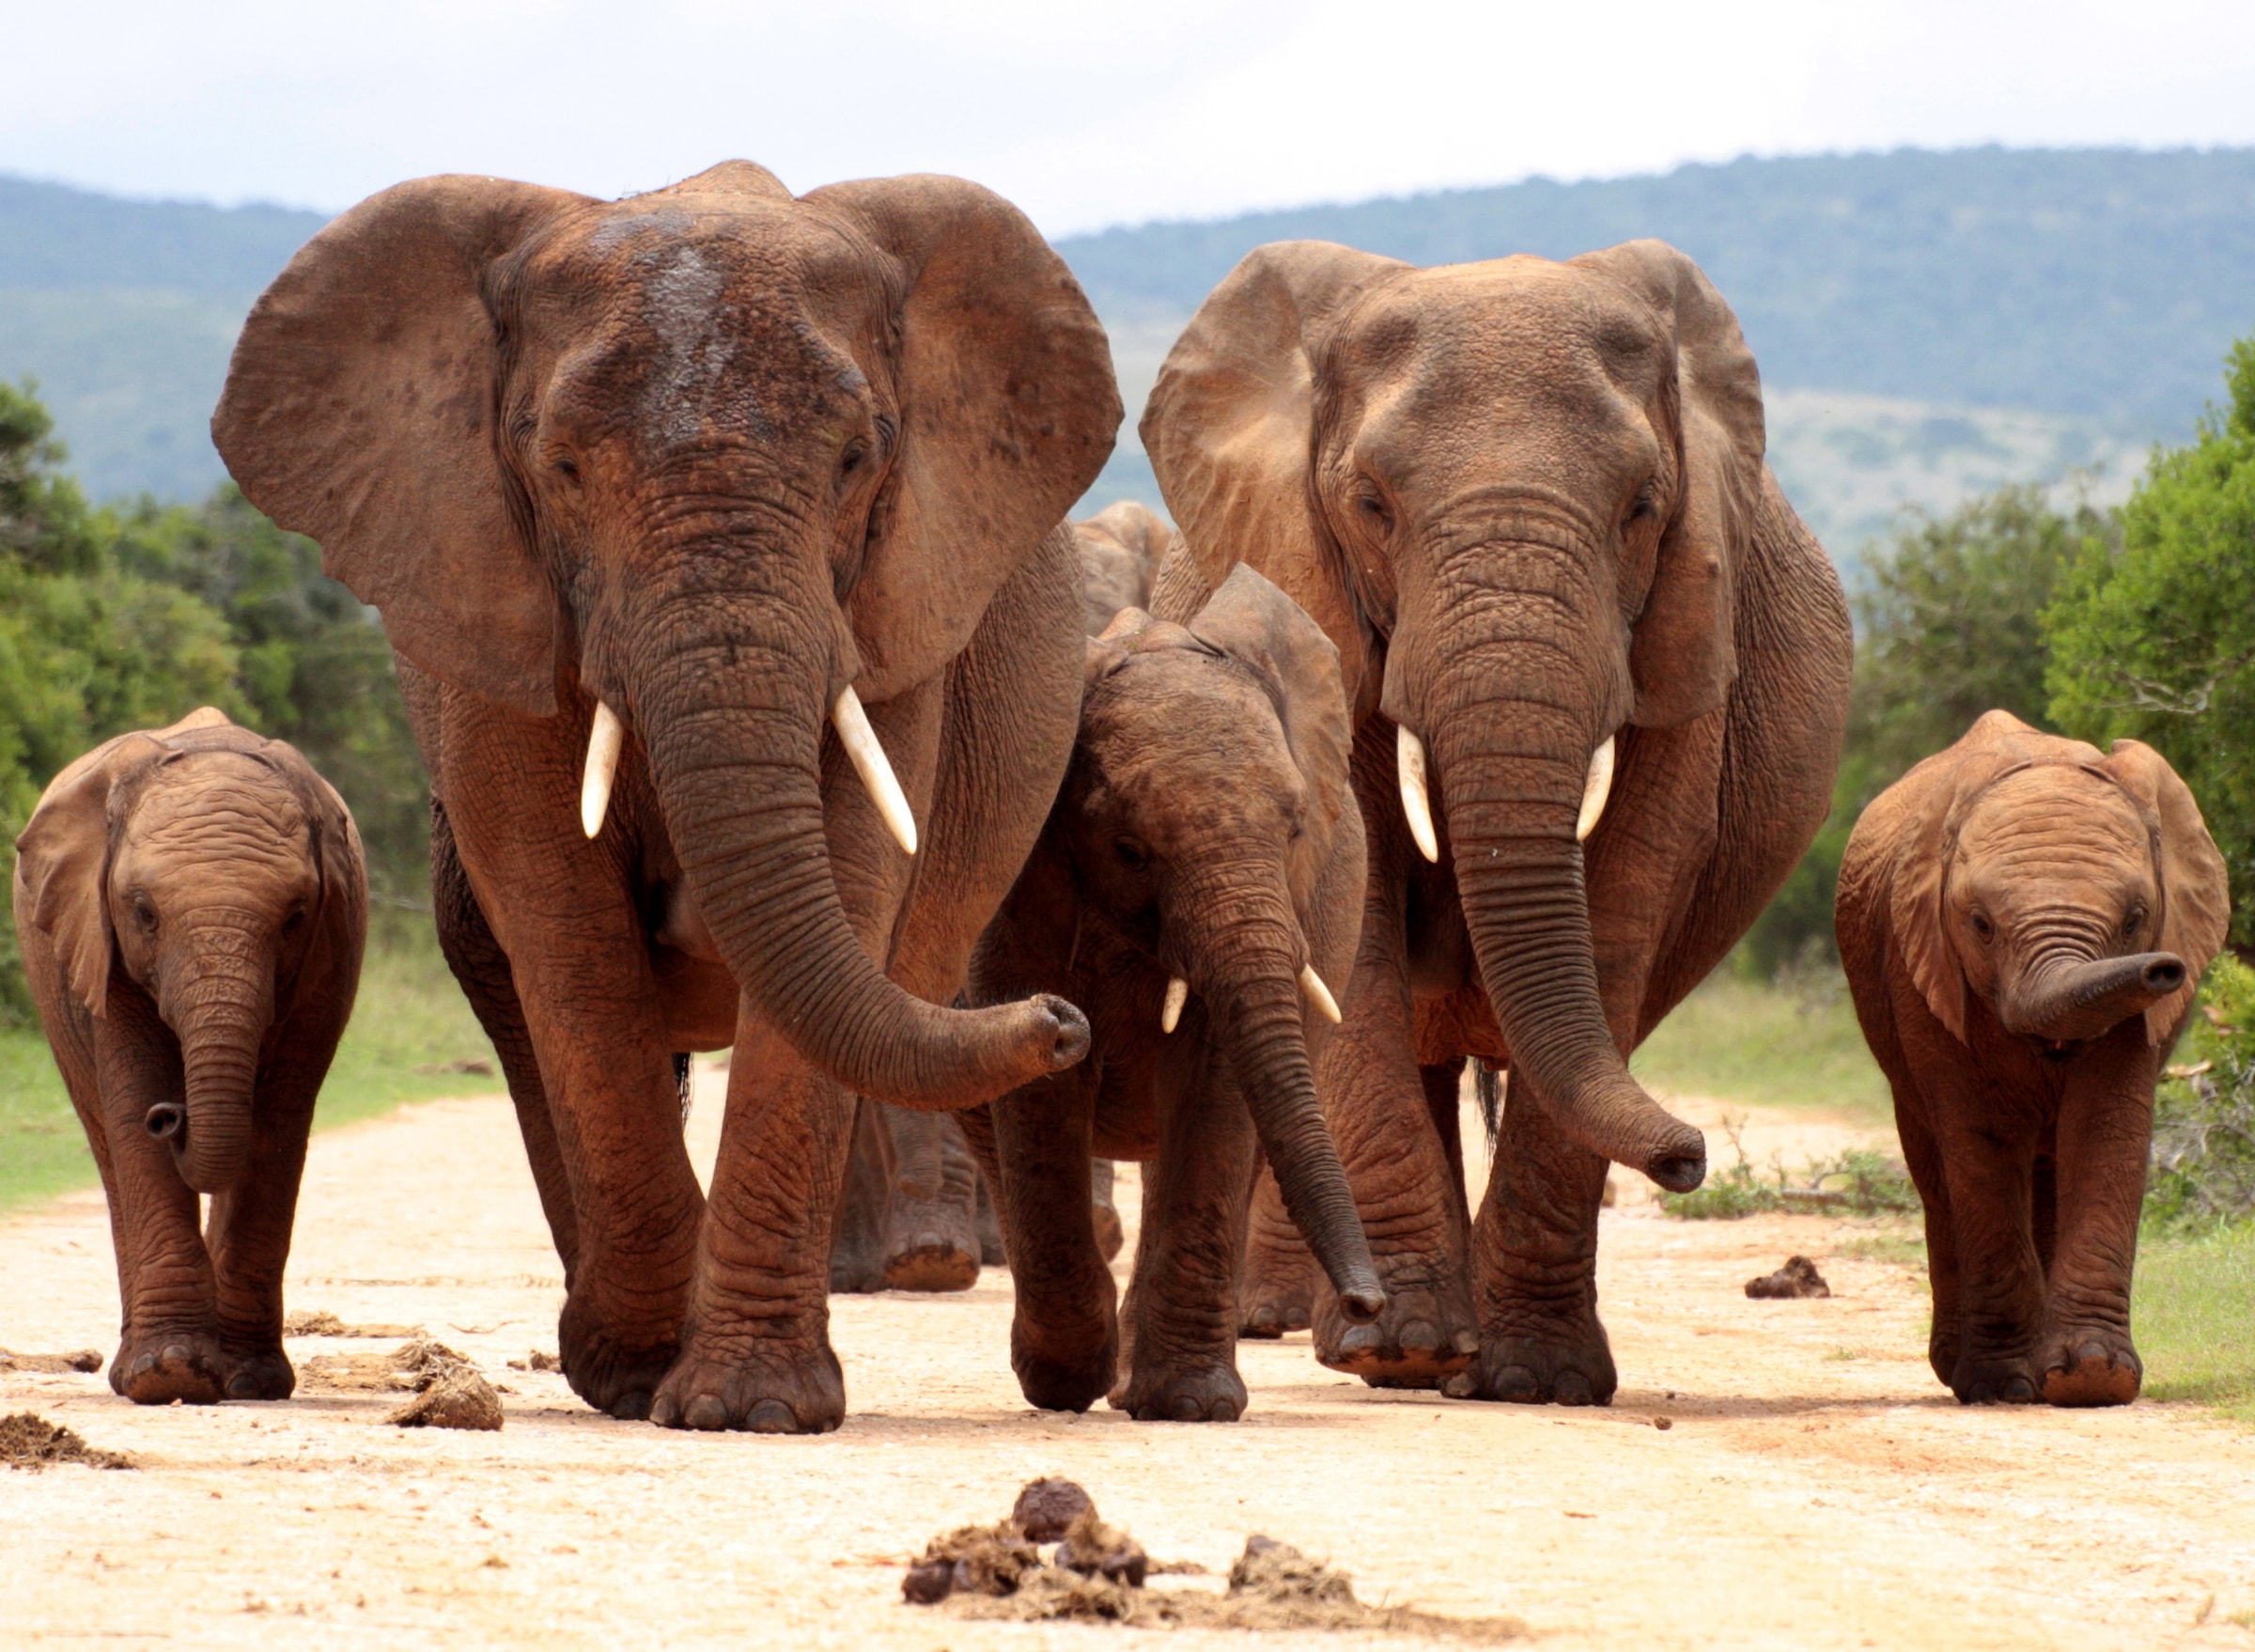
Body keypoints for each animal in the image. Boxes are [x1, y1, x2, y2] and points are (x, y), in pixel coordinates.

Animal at [8, 704, 363, 1399]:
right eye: (144, 912)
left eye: (295, 917)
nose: (172, 1117)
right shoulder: (98, 940)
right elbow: (132, 1099)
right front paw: (169, 1373)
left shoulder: (331, 951)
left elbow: (280, 1121)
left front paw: (250, 1381)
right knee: (106, 1137)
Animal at [220, 164, 1118, 1435]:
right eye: (560, 467)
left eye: (860, 458)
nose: (1063, 1019)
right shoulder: (492, 612)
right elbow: (567, 932)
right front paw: (648, 1375)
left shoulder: (893, 611)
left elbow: (851, 887)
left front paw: (750, 1407)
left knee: (922, 1005)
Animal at [973, 564, 1389, 1417]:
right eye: (1130, 849)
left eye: (1297, 830)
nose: (1370, 1305)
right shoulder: (1019, 888)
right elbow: (1041, 1086)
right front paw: (1070, 1382)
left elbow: (1213, 1084)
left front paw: (1189, 1405)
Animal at [1145, 239, 1849, 1399]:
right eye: (1370, 504)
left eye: (1643, 507)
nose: (1690, 1156)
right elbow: (1358, 918)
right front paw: (1405, 1352)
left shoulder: (1683, 645)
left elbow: (1620, 911)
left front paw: (1538, 1380)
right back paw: (1360, 1334)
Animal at [1840, 709, 2228, 1408]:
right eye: (1980, 924)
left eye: (2136, 918)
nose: (2164, 970)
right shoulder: (1922, 966)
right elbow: (1980, 1139)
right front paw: (2003, 1385)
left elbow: (2106, 1126)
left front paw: (2092, 1377)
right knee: (1935, 1166)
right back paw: (1960, 1370)